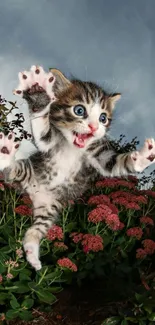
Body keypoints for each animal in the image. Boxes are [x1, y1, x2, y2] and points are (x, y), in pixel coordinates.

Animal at [0, 64, 155, 270]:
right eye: (79, 110)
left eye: (103, 118)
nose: (94, 127)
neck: (74, 147)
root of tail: (36, 194)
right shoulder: (49, 142)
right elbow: (42, 133)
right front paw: (39, 98)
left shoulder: (99, 156)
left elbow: (114, 165)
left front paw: (144, 157)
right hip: (27, 172)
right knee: (11, 171)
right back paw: (6, 154)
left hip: (49, 208)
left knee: (36, 229)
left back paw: (33, 254)